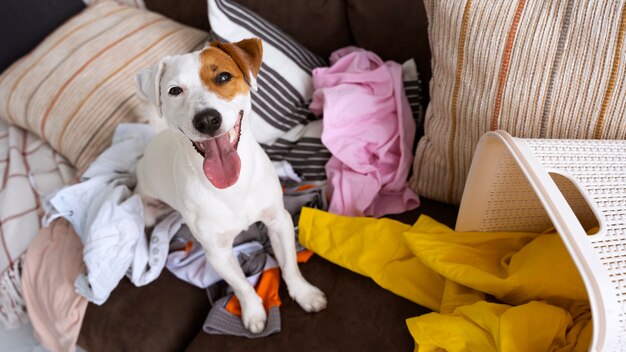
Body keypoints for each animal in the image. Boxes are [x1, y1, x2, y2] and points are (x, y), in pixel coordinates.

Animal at [133, 38, 326, 332]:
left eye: (223, 77)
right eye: (175, 90)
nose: (207, 120)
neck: (232, 188)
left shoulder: (278, 221)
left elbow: (290, 265)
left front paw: (304, 294)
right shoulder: (217, 253)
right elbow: (241, 285)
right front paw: (253, 313)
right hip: (150, 209)